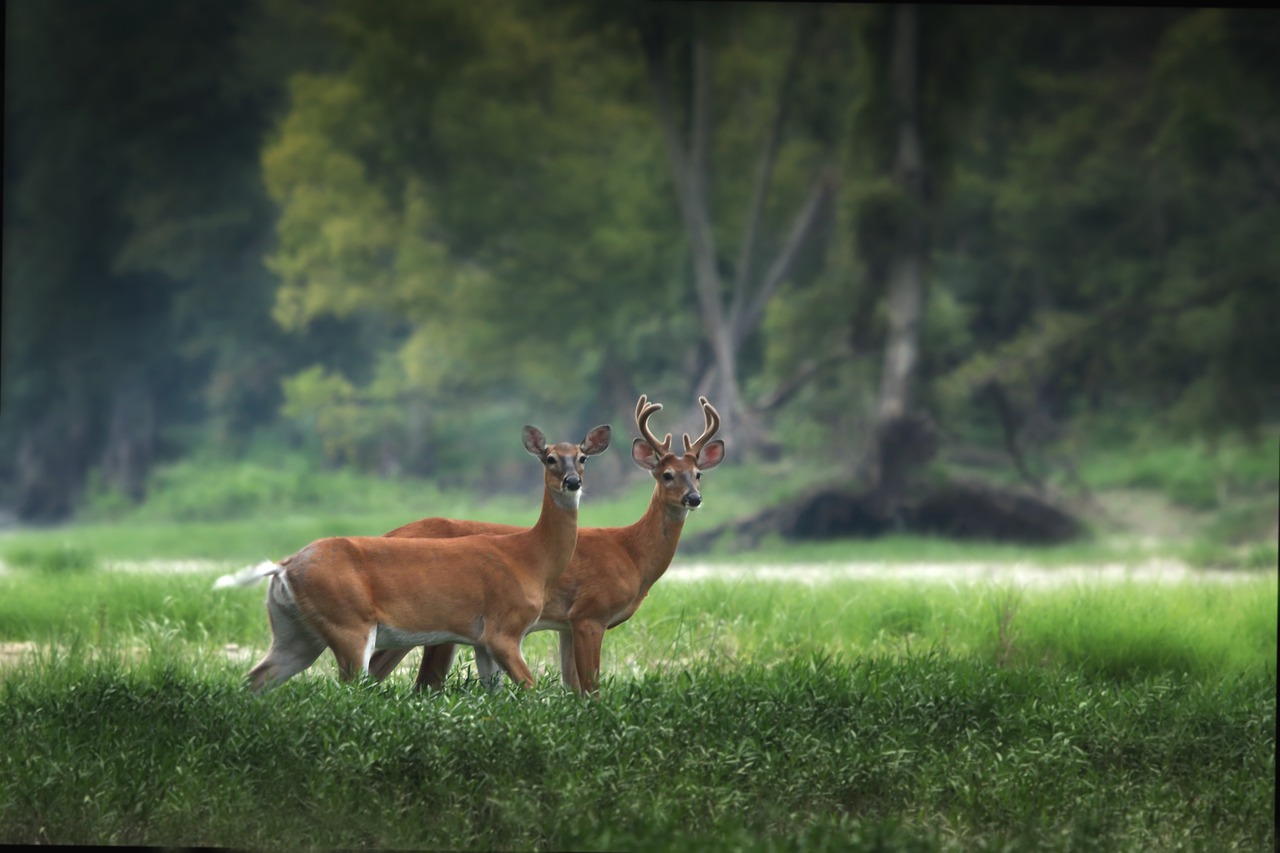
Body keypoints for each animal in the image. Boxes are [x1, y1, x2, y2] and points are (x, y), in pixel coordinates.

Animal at [212, 422, 611, 686]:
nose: (572, 482)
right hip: (349, 624)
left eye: (583, 457)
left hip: (294, 632)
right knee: (347, 688)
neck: (531, 558)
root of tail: (283, 566)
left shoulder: (482, 641)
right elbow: (529, 690)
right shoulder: (504, 629)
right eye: (549, 458)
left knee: (256, 679)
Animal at [366, 394, 727, 696]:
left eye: (698, 474)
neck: (631, 553)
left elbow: (573, 686)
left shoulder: (566, 625)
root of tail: (389, 534)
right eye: (666, 475)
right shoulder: (590, 612)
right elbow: (591, 687)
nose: (693, 498)